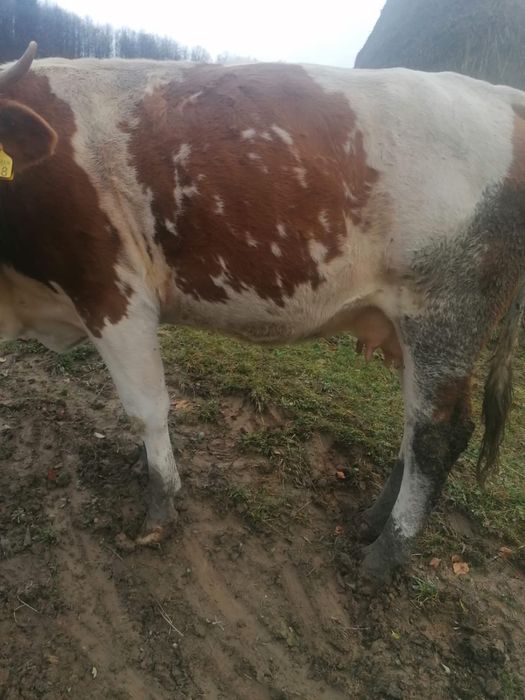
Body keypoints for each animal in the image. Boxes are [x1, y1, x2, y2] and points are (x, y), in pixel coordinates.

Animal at [1, 42, 525, 583]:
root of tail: (502, 95)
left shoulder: (112, 292)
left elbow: (147, 409)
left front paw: (159, 507)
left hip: (446, 314)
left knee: (437, 435)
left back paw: (384, 555)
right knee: (414, 421)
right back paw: (371, 521)